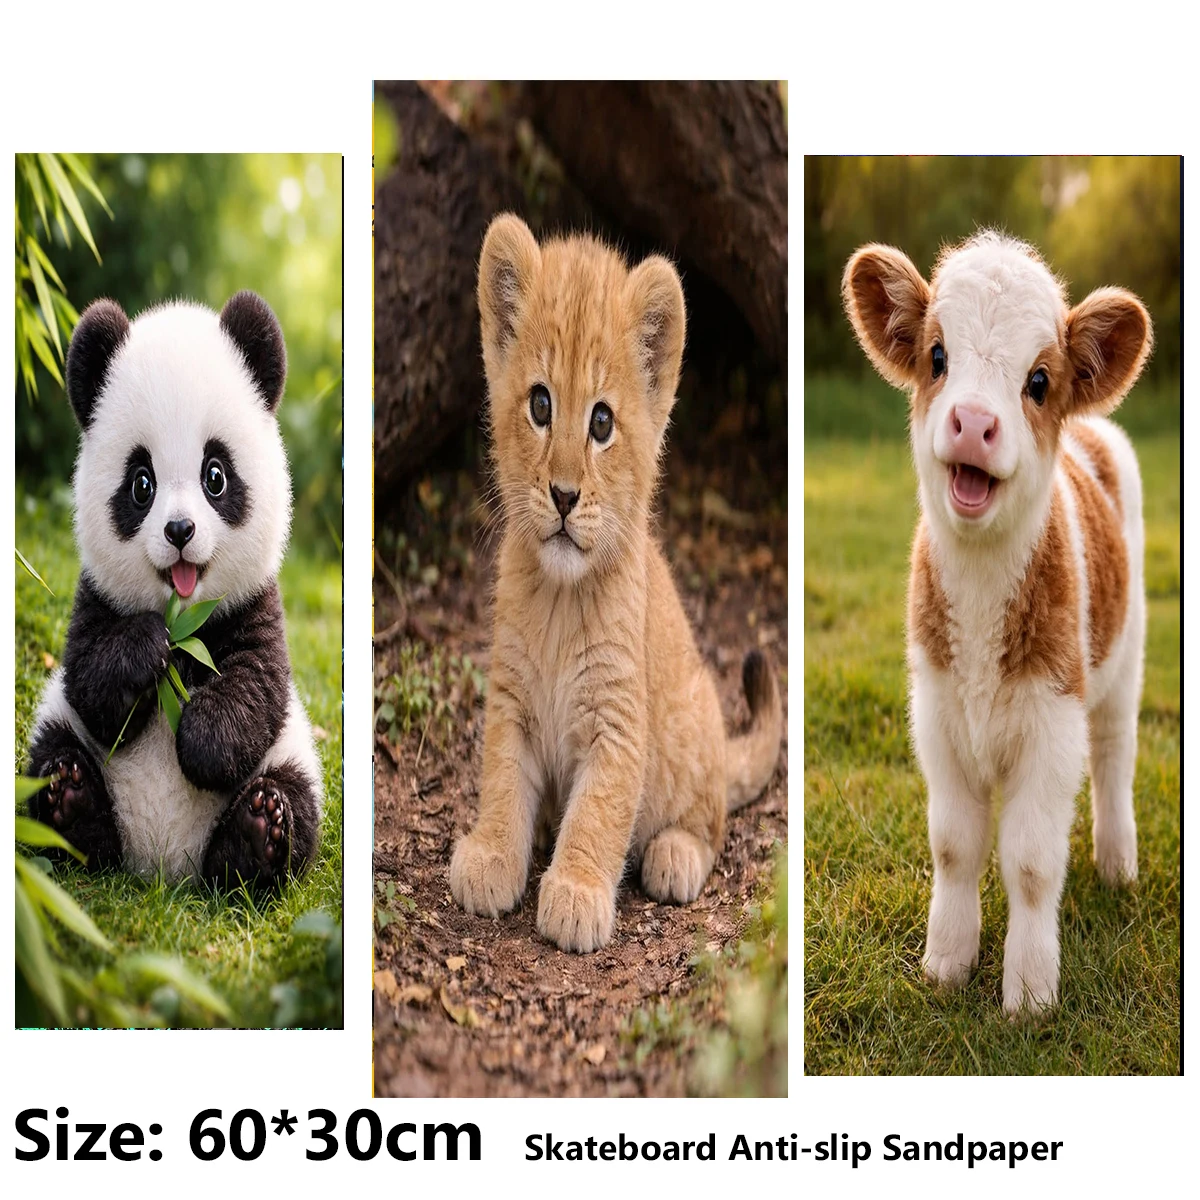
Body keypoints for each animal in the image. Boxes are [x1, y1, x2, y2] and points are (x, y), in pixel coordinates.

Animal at [26, 291, 323, 891]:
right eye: (142, 483)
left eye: (216, 475)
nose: (180, 531)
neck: (186, 615)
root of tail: (163, 866)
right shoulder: (94, 597)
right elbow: (90, 681)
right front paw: (146, 646)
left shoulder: (256, 603)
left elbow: (256, 684)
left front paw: (199, 740)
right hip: (54, 724)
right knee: (52, 760)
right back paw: (71, 798)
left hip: (293, 754)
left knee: (293, 806)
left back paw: (258, 832)